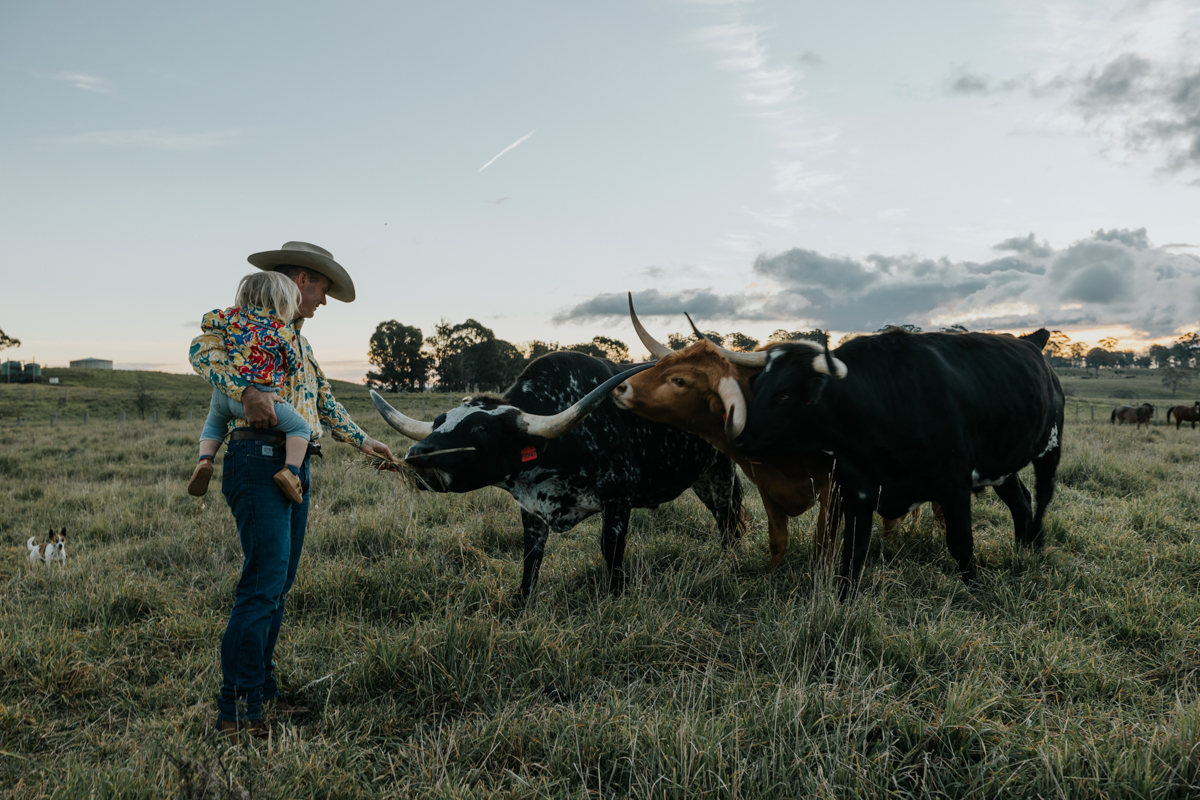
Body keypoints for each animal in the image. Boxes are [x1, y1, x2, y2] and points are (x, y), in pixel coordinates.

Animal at [369, 352, 744, 604]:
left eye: (481, 427)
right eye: (438, 421)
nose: (416, 453)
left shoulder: (618, 496)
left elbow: (611, 548)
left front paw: (615, 596)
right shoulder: (531, 506)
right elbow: (531, 556)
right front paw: (522, 602)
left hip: (721, 470)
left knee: (727, 517)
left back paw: (729, 562)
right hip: (701, 476)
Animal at [614, 293, 912, 568]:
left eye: (680, 381)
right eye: (662, 364)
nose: (620, 388)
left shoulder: (834, 486)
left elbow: (823, 540)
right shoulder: (766, 485)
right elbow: (777, 539)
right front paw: (772, 574)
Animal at [729, 328, 1060, 597]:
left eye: (785, 394)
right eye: (757, 386)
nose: (740, 439)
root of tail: (1032, 341)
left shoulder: (953, 486)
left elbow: (961, 543)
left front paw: (977, 591)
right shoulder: (857, 492)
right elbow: (853, 552)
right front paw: (844, 601)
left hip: (1050, 448)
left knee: (1042, 496)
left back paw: (1037, 546)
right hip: (1003, 466)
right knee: (1021, 501)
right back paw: (1021, 550)